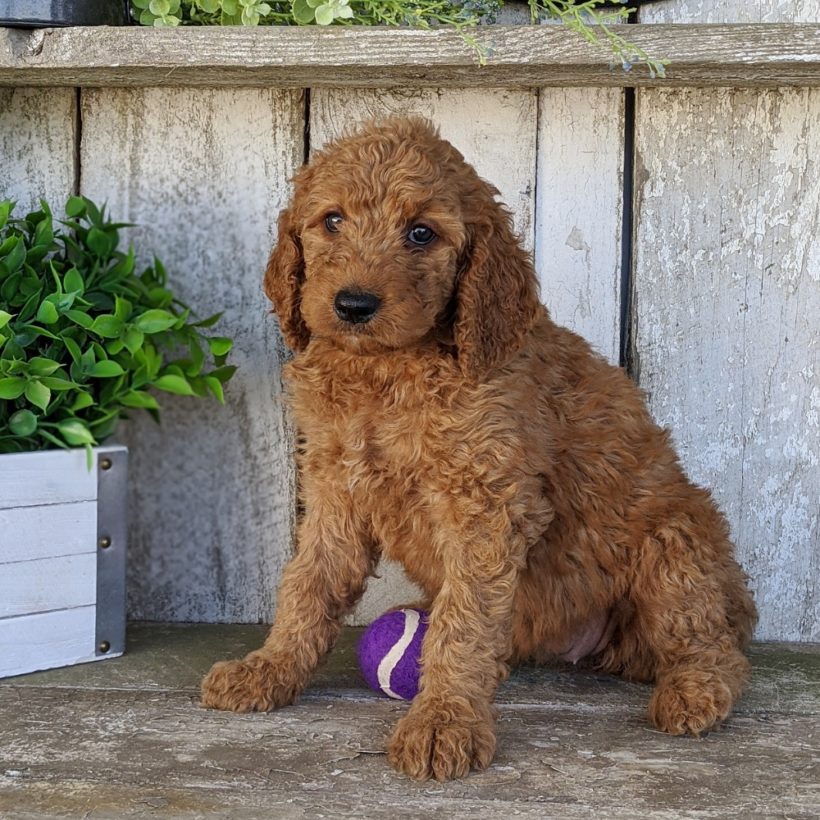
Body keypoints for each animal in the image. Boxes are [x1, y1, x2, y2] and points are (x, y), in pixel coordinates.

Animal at [202, 115, 760, 780]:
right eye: (331, 220)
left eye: (421, 232)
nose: (354, 305)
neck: (386, 373)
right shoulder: (335, 491)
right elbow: (308, 585)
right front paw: (270, 669)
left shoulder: (485, 502)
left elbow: (463, 621)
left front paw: (444, 720)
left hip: (675, 540)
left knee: (713, 644)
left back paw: (693, 691)